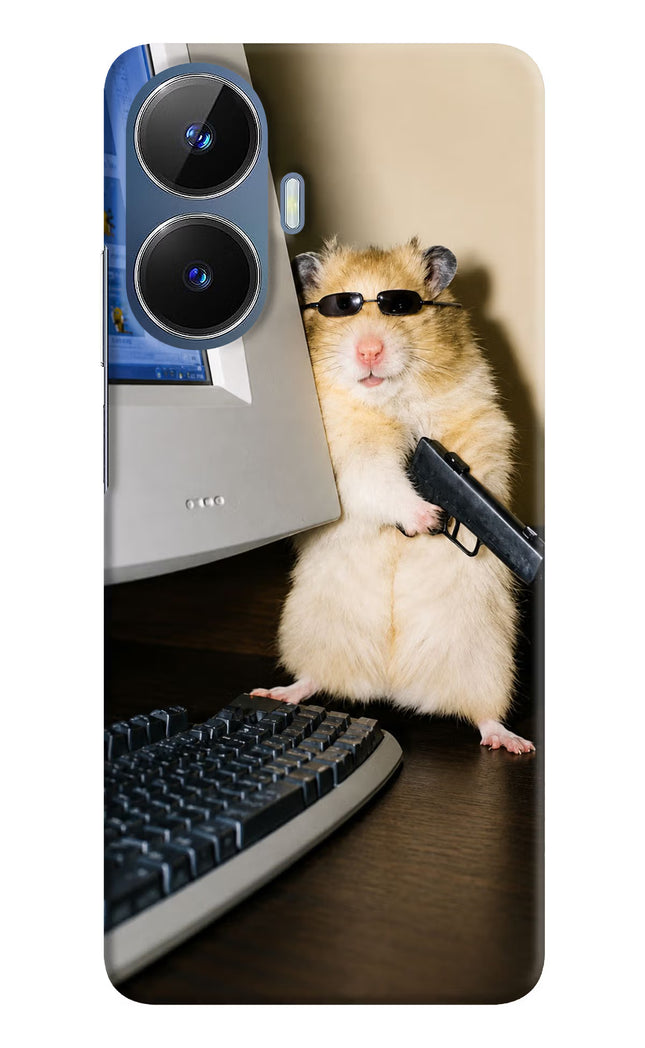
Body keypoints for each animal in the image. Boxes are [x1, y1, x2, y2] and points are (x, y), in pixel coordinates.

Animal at [252, 238, 534, 754]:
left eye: (401, 306)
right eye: (340, 307)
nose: (369, 350)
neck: (389, 400)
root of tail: (392, 686)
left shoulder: (481, 424)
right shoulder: (348, 458)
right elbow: (380, 481)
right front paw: (428, 518)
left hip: (488, 660)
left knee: (484, 714)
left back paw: (512, 742)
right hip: (311, 632)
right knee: (313, 678)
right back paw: (277, 692)